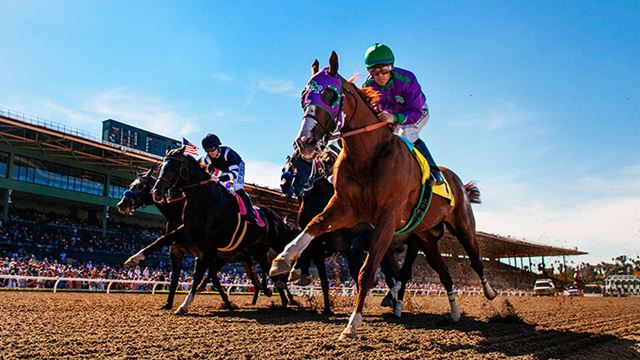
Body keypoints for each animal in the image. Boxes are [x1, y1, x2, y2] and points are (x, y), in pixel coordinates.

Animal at [268, 52, 496, 338]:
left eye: (331, 95)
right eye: (303, 95)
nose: (305, 141)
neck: (368, 155)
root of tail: (460, 185)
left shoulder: (386, 220)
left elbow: (367, 271)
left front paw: (353, 323)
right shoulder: (344, 207)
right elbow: (314, 225)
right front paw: (282, 261)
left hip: (463, 227)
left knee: (475, 260)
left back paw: (490, 292)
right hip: (425, 239)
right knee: (443, 272)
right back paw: (453, 313)